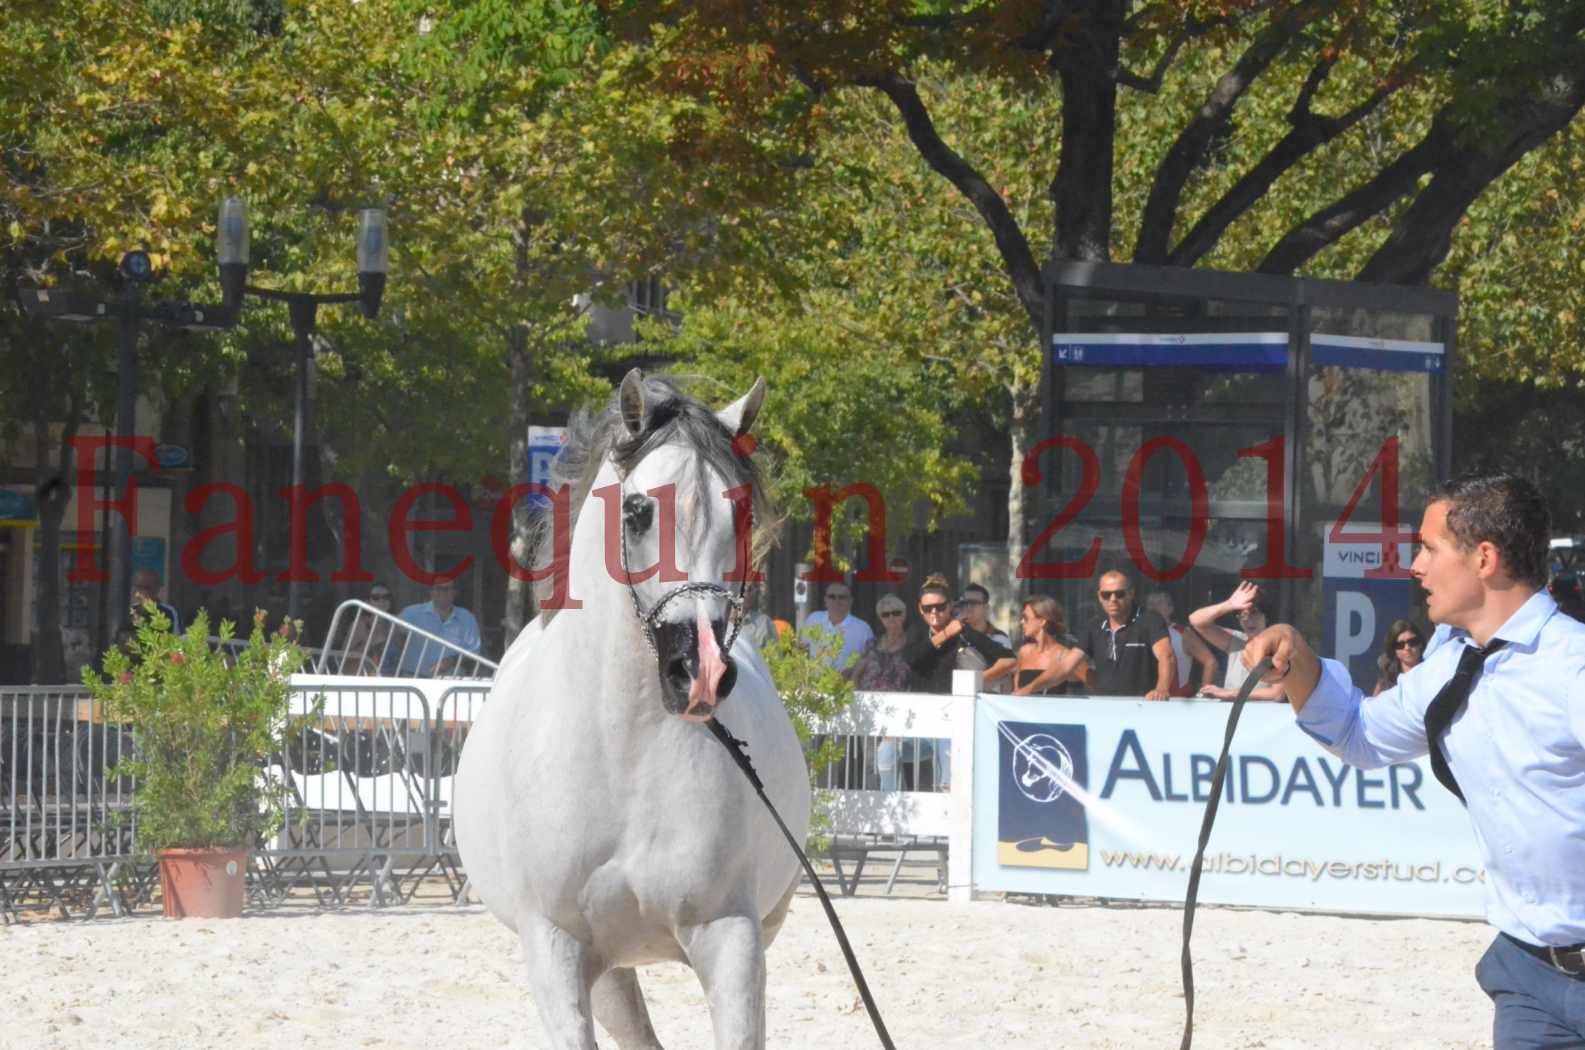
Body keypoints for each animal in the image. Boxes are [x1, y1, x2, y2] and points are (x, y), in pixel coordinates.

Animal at [453, 372, 811, 1050]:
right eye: (638, 511)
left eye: (742, 513)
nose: (700, 672)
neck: (623, 754)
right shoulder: (556, 949)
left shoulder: (731, 936)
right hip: (606, 973)